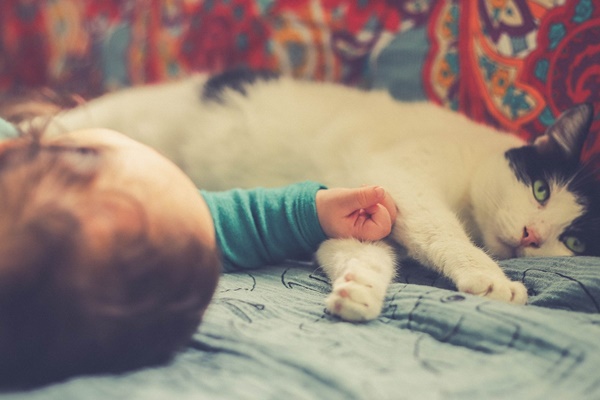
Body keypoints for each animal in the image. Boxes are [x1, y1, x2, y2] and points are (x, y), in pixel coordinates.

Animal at [44, 69, 596, 322]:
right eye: (541, 190)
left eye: (574, 242)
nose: (530, 234)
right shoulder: (404, 181)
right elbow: (445, 233)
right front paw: (491, 278)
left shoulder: (358, 214)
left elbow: (357, 251)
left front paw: (359, 290)